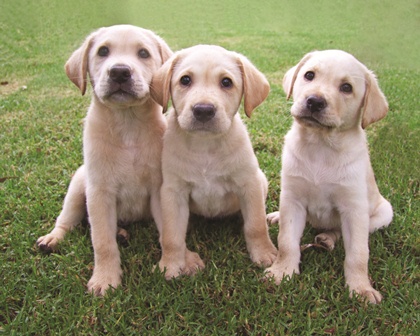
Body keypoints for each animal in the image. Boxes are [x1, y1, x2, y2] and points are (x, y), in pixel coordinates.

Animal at [37, 25, 173, 296]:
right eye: (103, 51)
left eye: (143, 53)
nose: (120, 71)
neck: (127, 125)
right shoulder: (99, 193)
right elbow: (102, 241)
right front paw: (105, 279)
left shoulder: (158, 188)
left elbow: (167, 231)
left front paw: (174, 263)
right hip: (78, 186)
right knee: (68, 219)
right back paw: (53, 238)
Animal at [151, 44, 278, 280]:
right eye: (185, 80)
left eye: (226, 82)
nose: (203, 110)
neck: (205, 147)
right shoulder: (173, 192)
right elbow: (172, 235)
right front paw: (170, 265)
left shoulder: (249, 183)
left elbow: (256, 225)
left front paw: (264, 253)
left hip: (261, 180)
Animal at [266, 50, 394, 304]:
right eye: (309, 75)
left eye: (346, 87)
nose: (314, 101)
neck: (320, 145)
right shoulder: (293, 199)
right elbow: (286, 241)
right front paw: (282, 271)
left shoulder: (354, 209)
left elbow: (358, 254)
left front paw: (361, 288)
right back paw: (277, 216)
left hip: (384, 214)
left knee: (341, 232)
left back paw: (327, 238)